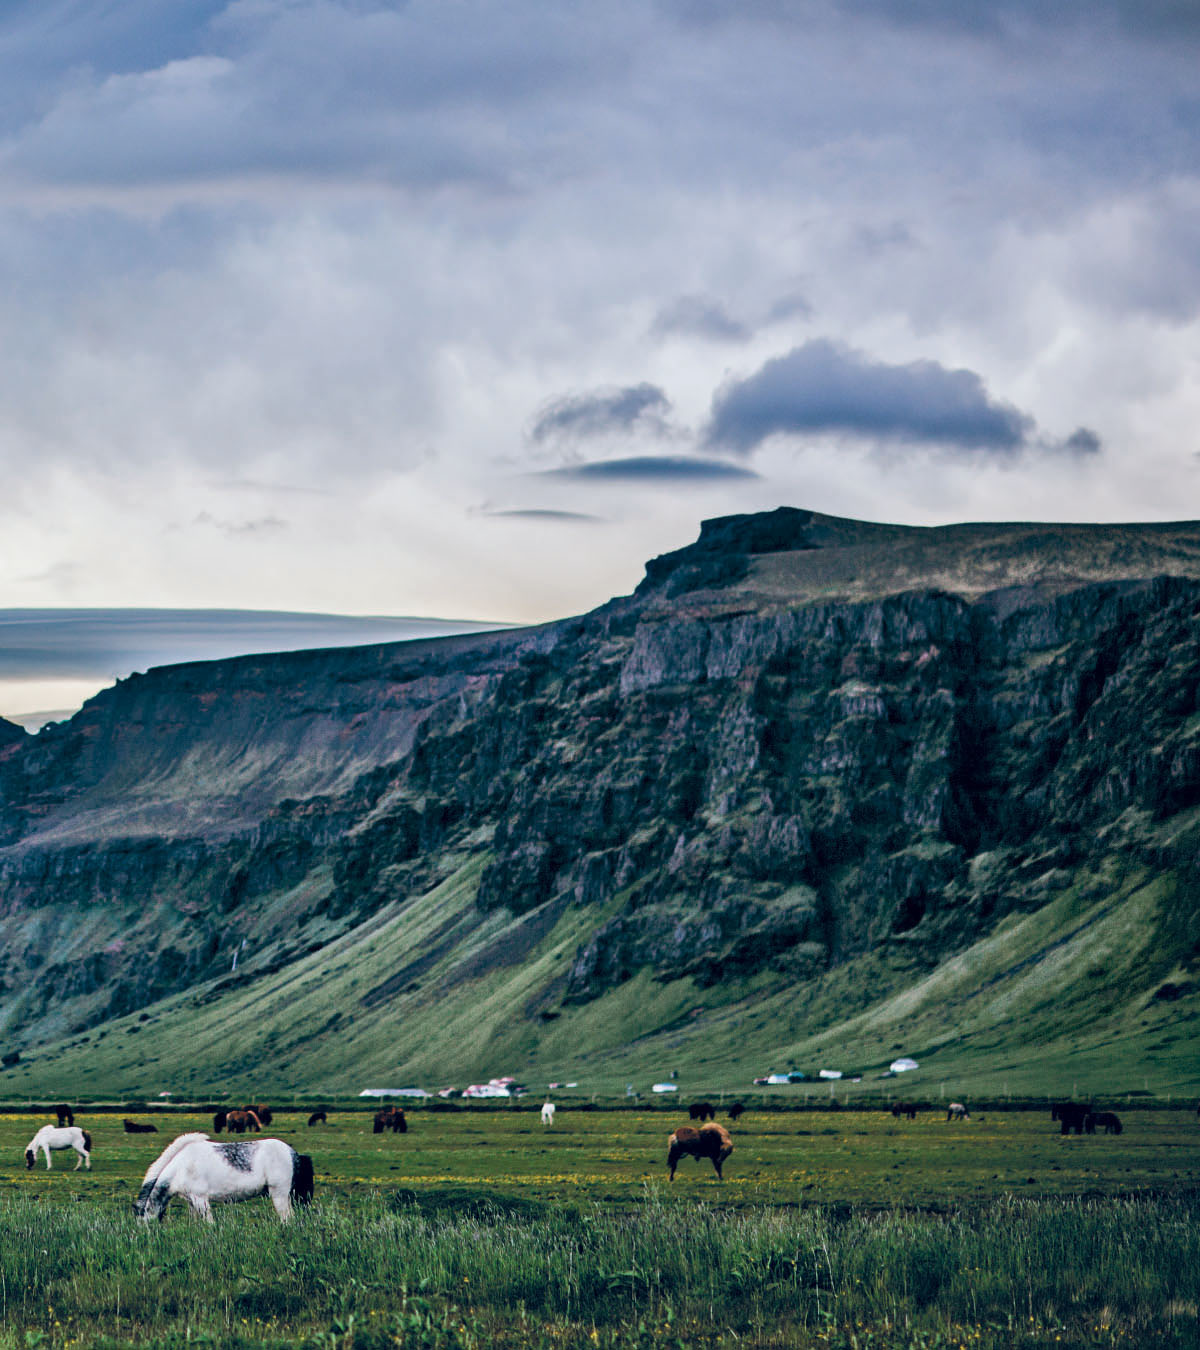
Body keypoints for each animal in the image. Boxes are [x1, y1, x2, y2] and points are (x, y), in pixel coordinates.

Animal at [130, 1128, 313, 1225]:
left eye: (143, 1222)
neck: (181, 1166)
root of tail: (293, 1153)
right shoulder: (192, 1202)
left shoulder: (201, 1199)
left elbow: (209, 1223)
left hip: (279, 1194)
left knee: (287, 1219)